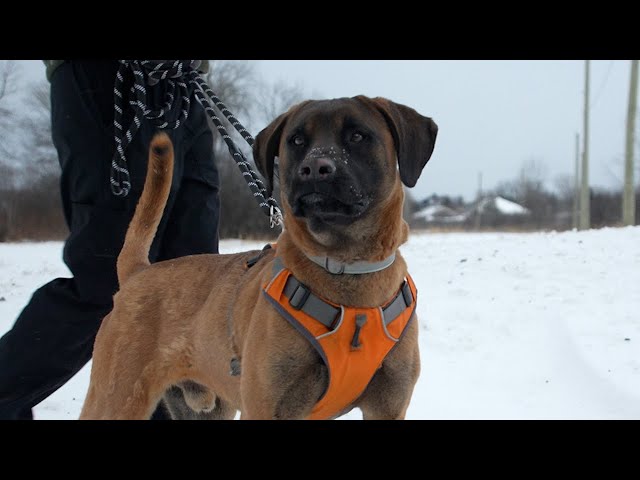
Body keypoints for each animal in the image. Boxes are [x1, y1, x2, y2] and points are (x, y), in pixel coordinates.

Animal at [80, 95, 438, 418]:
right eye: (297, 140)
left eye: (357, 136)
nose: (315, 168)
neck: (346, 269)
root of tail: (139, 273)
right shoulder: (268, 405)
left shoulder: (387, 405)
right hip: (117, 398)